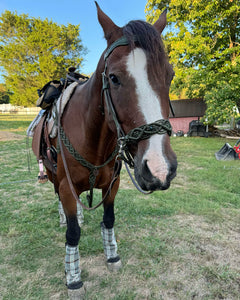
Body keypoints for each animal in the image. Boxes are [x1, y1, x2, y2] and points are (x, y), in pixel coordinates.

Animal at [38, 2, 176, 298]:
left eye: (169, 75)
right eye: (113, 78)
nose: (159, 168)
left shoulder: (113, 184)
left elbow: (109, 220)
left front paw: (112, 255)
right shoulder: (66, 185)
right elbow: (73, 234)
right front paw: (73, 277)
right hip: (55, 177)